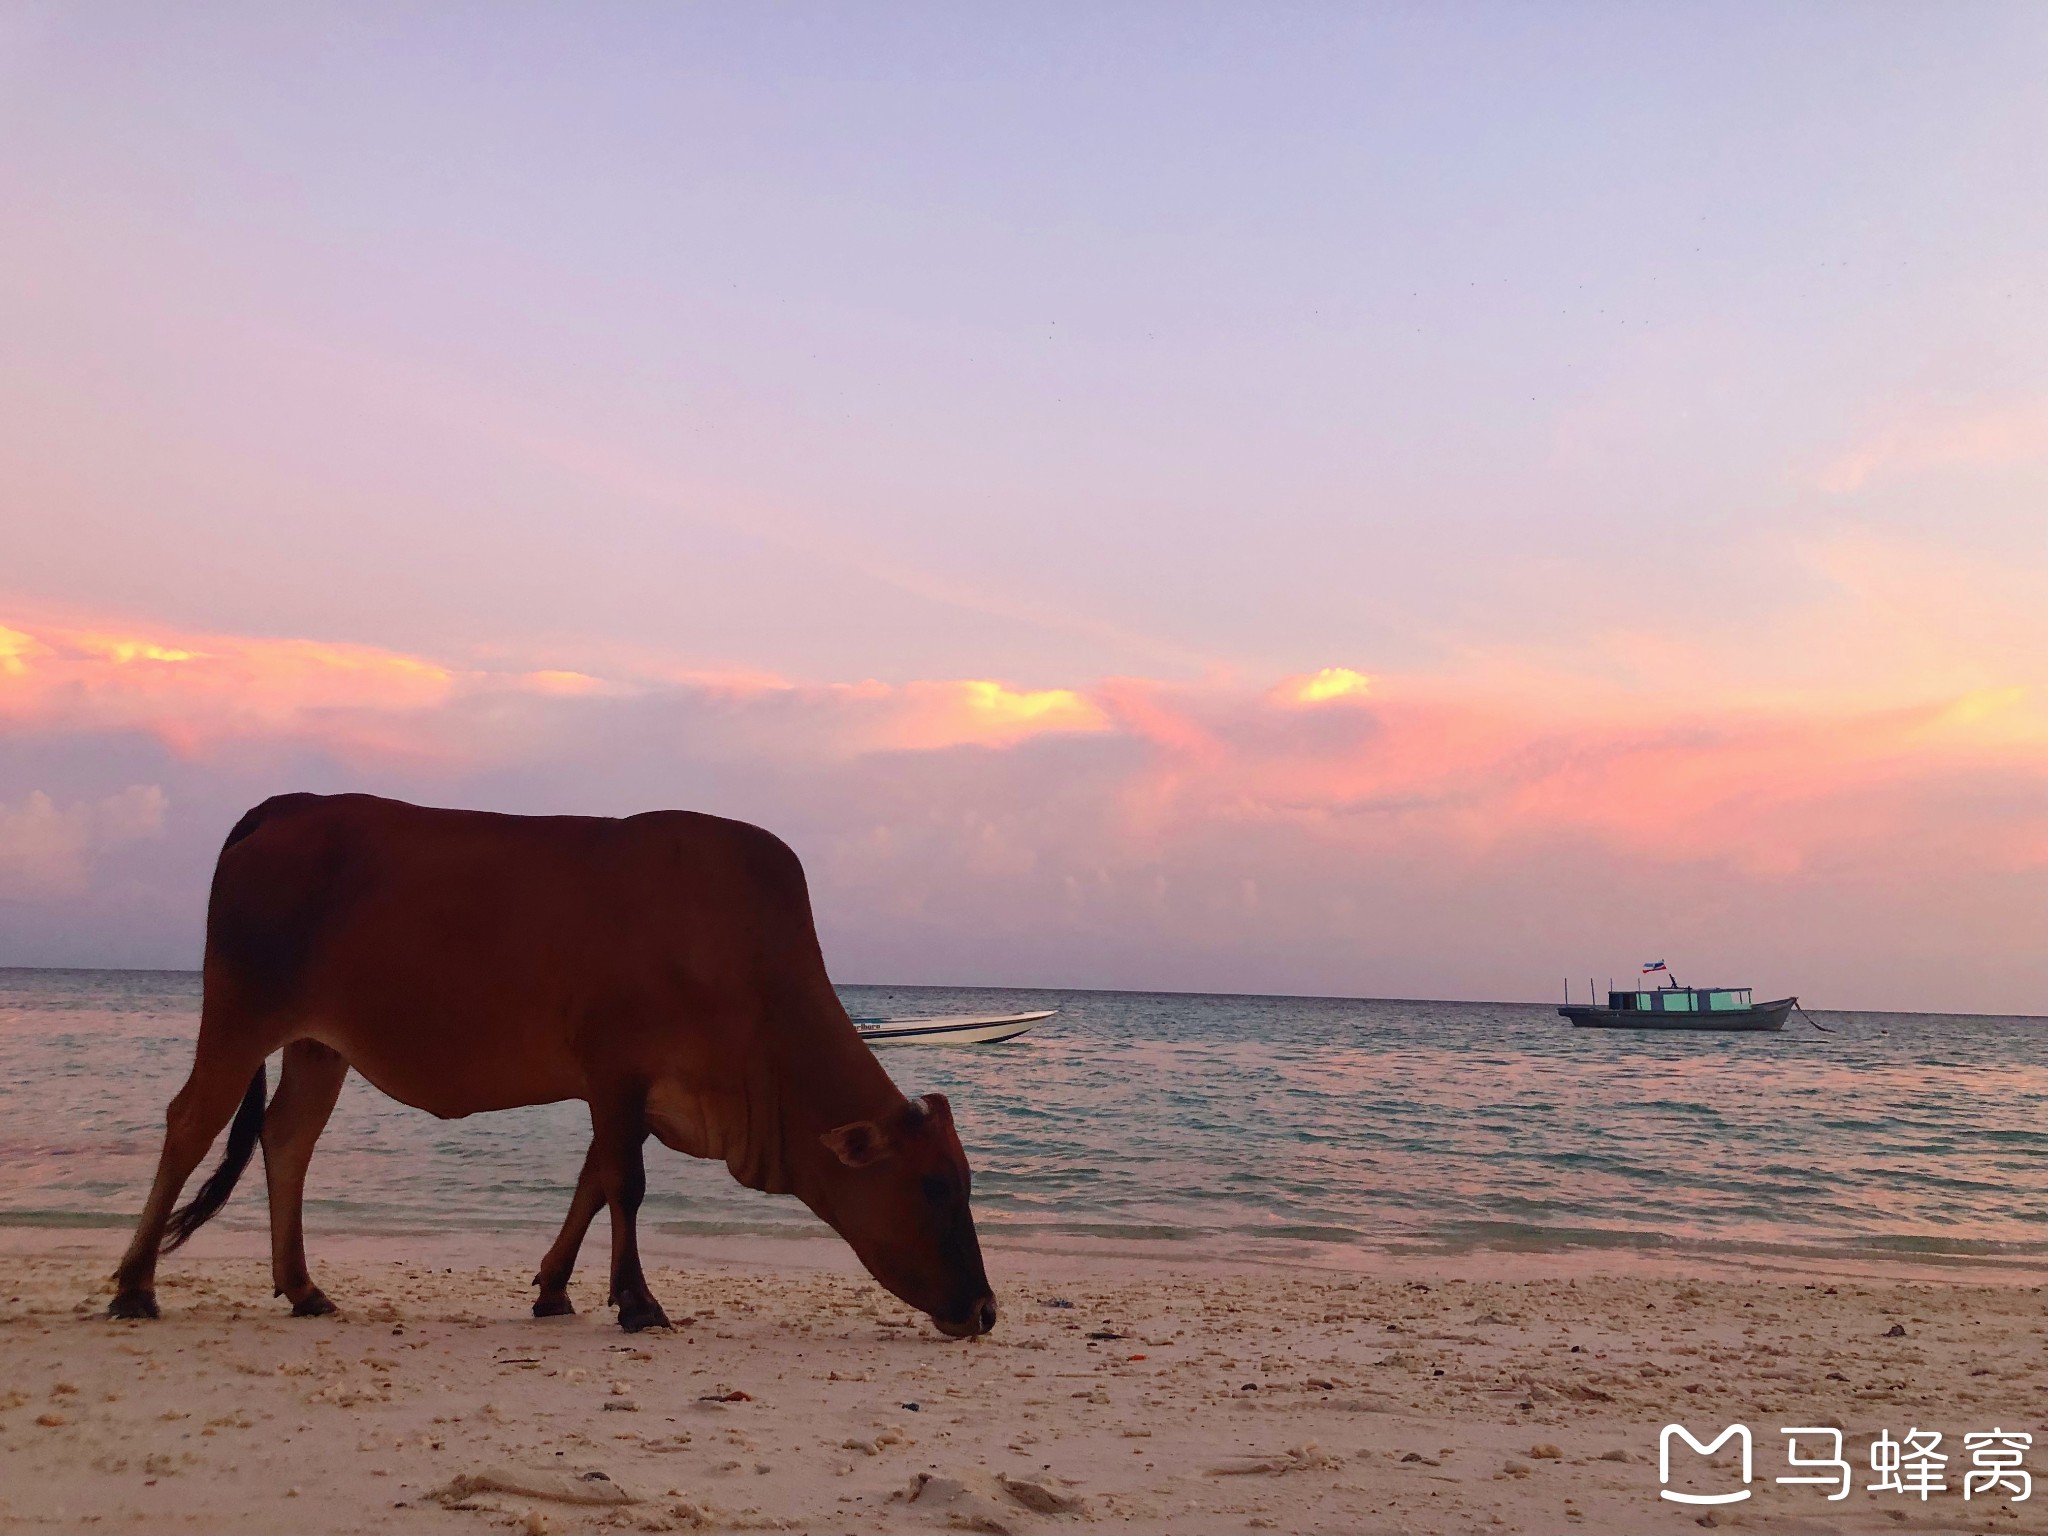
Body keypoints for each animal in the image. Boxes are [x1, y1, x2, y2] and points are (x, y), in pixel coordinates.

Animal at [110, 798, 999, 1343]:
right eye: (933, 1187)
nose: (987, 1309)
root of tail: (288, 804)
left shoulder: (625, 1095)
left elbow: (593, 1182)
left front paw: (554, 1289)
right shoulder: (616, 1071)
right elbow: (625, 1184)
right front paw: (637, 1301)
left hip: (318, 1046)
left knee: (288, 1140)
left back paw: (302, 1287)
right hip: (240, 1017)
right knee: (191, 1123)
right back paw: (134, 1286)